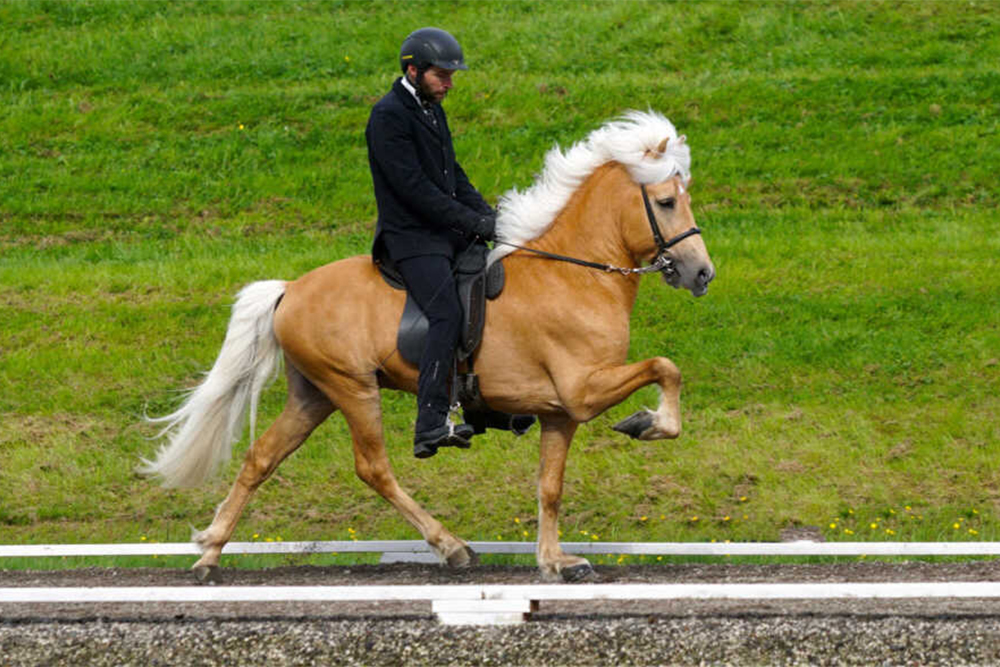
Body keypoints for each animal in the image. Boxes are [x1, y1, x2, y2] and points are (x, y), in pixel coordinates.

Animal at [145, 112, 716, 580]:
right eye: (666, 202)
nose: (702, 274)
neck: (575, 274)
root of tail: (290, 289)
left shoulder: (560, 412)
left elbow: (549, 488)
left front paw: (555, 561)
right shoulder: (583, 389)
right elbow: (666, 367)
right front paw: (649, 423)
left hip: (314, 394)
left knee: (261, 458)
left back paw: (210, 552)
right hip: (352, 388)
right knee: (374, 468)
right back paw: (451, 546)